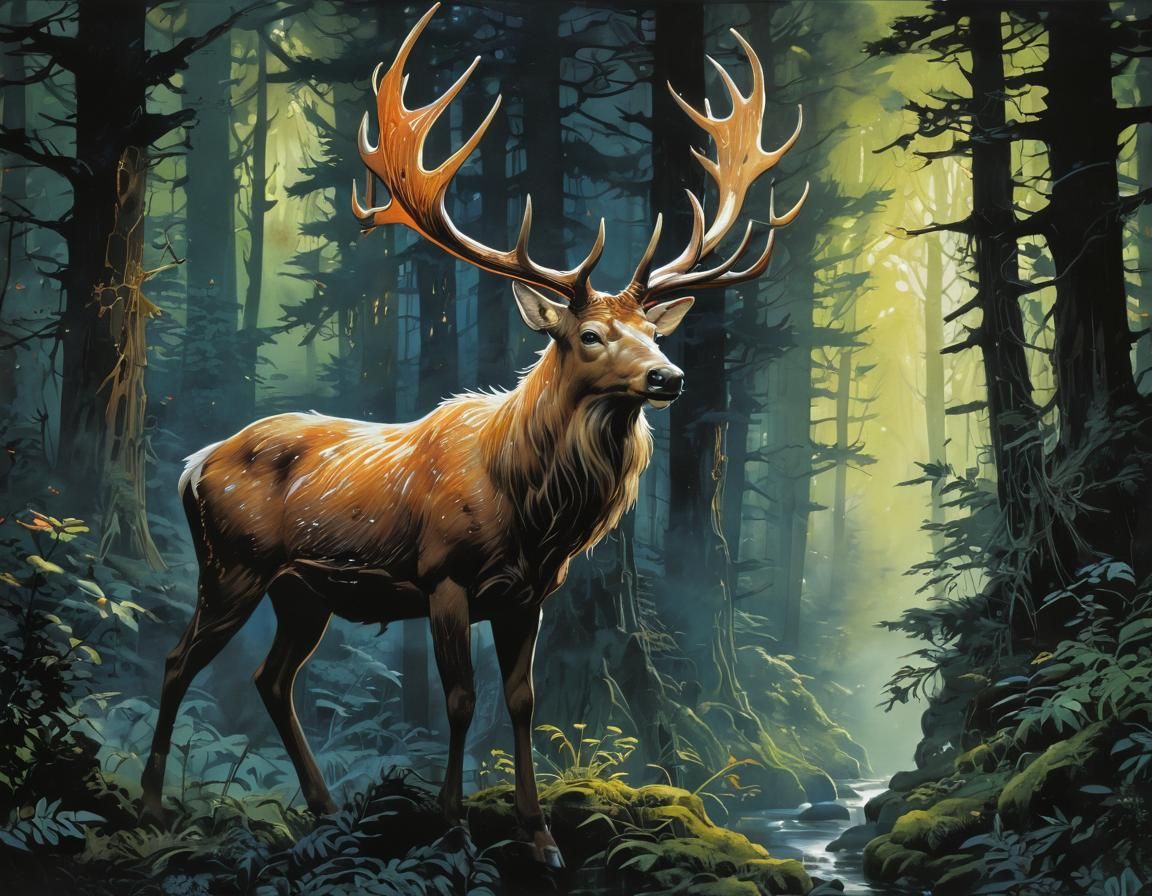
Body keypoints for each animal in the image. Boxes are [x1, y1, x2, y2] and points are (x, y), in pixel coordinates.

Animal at [140, 4, 804, 868]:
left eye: (653, 333)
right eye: (589, 335)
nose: (670, 378)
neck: (531, 509)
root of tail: (192, 464)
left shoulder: (531, 594)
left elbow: (521, 701)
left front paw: (539, 833)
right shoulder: (444, 577)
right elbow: (459, 700)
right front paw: (453, 826)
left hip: (303, 591)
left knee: (271, 680)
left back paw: (322, 806)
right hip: (232, 567)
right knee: (178, 659)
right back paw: (153, 802)